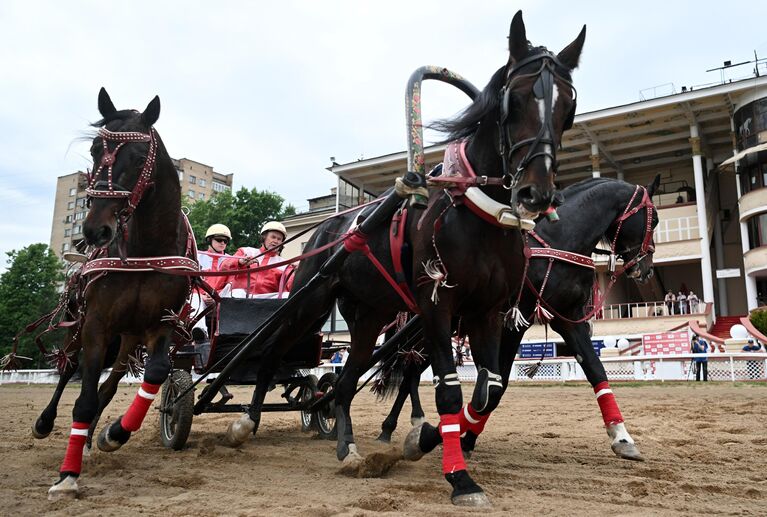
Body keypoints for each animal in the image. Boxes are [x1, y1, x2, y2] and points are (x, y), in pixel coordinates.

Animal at [47, 89, 191, 500]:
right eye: (95, 150)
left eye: (140, 158)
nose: (95, 230)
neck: (145, 250)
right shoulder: (97, 324)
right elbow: (82, 399)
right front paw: (67, 475)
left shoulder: (161, 323)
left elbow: (155, 372)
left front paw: (114, 433)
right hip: (80, 326)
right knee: (69, 369)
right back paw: (47, 424)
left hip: (128, 340)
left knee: (109, 385)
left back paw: (95, 435)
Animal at [225, 10, 584, 506]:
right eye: (514, 99)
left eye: (569, 105)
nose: (537, 193)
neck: (475, 214)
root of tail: (329, 226)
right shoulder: (436, 303)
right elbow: (450, 392)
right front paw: (459, 476)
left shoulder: (488, 310)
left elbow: (487, 390)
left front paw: (426, 438)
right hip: (310, 301)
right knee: (277, 349)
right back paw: (247, 421)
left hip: (370, 316)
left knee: (345, 379)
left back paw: (347, 447)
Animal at [372, 176, 660, 460]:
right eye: (655, 219)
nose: (646, 270)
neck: (557, 242)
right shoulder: (510, 324)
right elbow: (496, 386)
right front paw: (465, 437)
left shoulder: (568, 319)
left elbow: (596, 370)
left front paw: (622, 437)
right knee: (407, 371)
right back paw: (390, 428)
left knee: (411, 373)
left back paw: (410, 422)